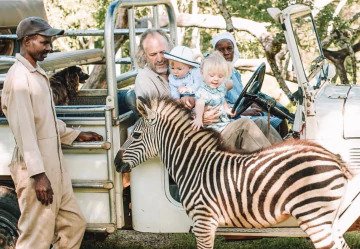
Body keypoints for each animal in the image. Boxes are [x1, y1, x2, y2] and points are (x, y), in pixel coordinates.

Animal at [116, 96, 354, 249]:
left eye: (135, 135)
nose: (116, 163)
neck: (195, 165)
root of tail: (332, 157)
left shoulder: (203, 223)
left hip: (314, 215)